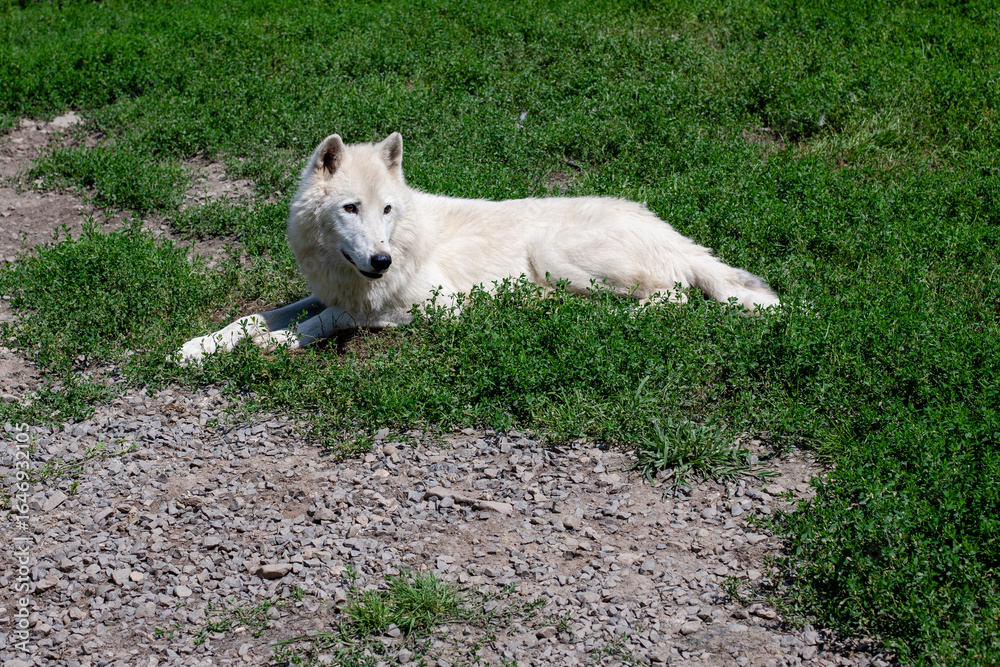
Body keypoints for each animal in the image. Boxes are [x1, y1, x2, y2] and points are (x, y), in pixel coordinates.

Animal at [175, 133, 780, 365]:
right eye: (351, 208)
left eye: (386, 210)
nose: (381, 261)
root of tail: (668, 228)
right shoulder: (329, 291)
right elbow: (257, 316)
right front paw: (199, 345)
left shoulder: (426, 306)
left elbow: (319, 324)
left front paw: (268, 346)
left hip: (556, 257)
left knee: (669, 298)